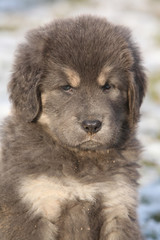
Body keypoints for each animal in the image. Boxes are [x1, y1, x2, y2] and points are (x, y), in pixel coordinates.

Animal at [0, 15, 147, 240]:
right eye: (67, 87)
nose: (92, 125)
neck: (80, 158)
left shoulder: (117, 205)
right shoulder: (33, 208)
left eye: (108, 86)